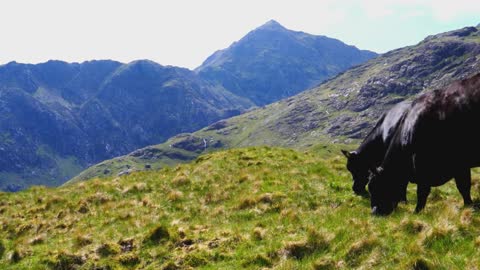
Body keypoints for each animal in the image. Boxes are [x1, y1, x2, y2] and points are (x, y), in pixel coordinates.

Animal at [368, 73, 480, 215]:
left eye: (376, 186)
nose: (374, 212)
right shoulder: (459, 166)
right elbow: (463, 187)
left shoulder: (426, 167)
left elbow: (424, 192)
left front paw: (416, 212)